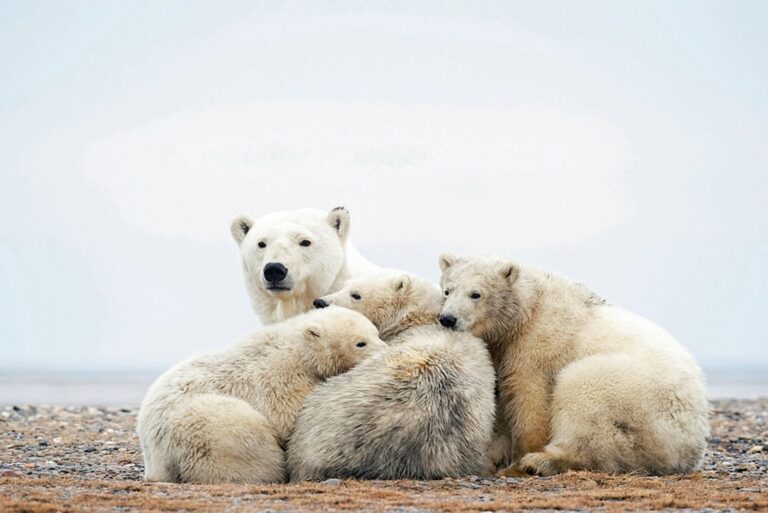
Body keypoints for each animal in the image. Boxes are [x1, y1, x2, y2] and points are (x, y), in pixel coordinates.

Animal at [137, 306, 384, 482]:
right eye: (360, 343)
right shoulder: (282, 377)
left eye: (376, 333)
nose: (383, 350)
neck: (299, 350)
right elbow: (290, 413)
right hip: (208, 426)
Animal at [438, 253, 708, 476]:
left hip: (639, 397)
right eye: (447, 290)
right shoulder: (502, 350)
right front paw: (492, 457)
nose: (448, 319)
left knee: (584, 394)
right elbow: (502, 398)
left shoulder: (538, 344)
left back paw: (540, 462)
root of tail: (691, 442)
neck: (528, 309)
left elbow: (530, 396)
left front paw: (519, 458)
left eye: (476, 294)